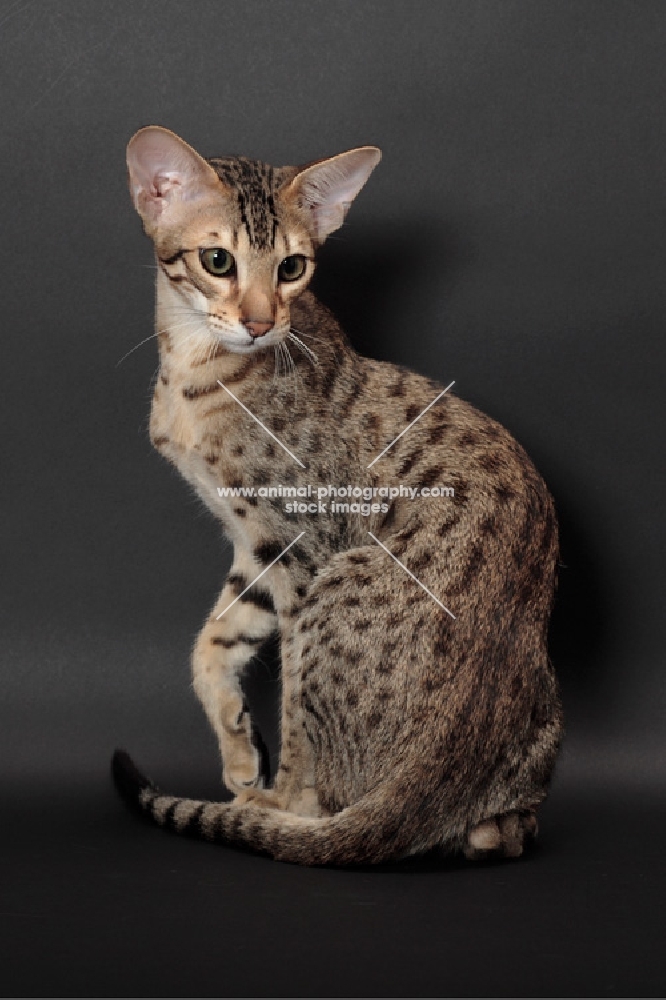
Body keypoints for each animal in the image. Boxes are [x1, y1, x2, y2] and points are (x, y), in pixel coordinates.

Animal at [113, 123, 560, 860]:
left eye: (293, 268)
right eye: (217, 261)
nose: (261, 322)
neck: (194, 371)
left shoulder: (303, 543)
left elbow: (291, 704)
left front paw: (275, 789)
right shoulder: (259, 548)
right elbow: (211, 643)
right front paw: (240, 750)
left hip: (338, 578)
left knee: (331, 797)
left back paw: (283, 815)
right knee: (505, 832)